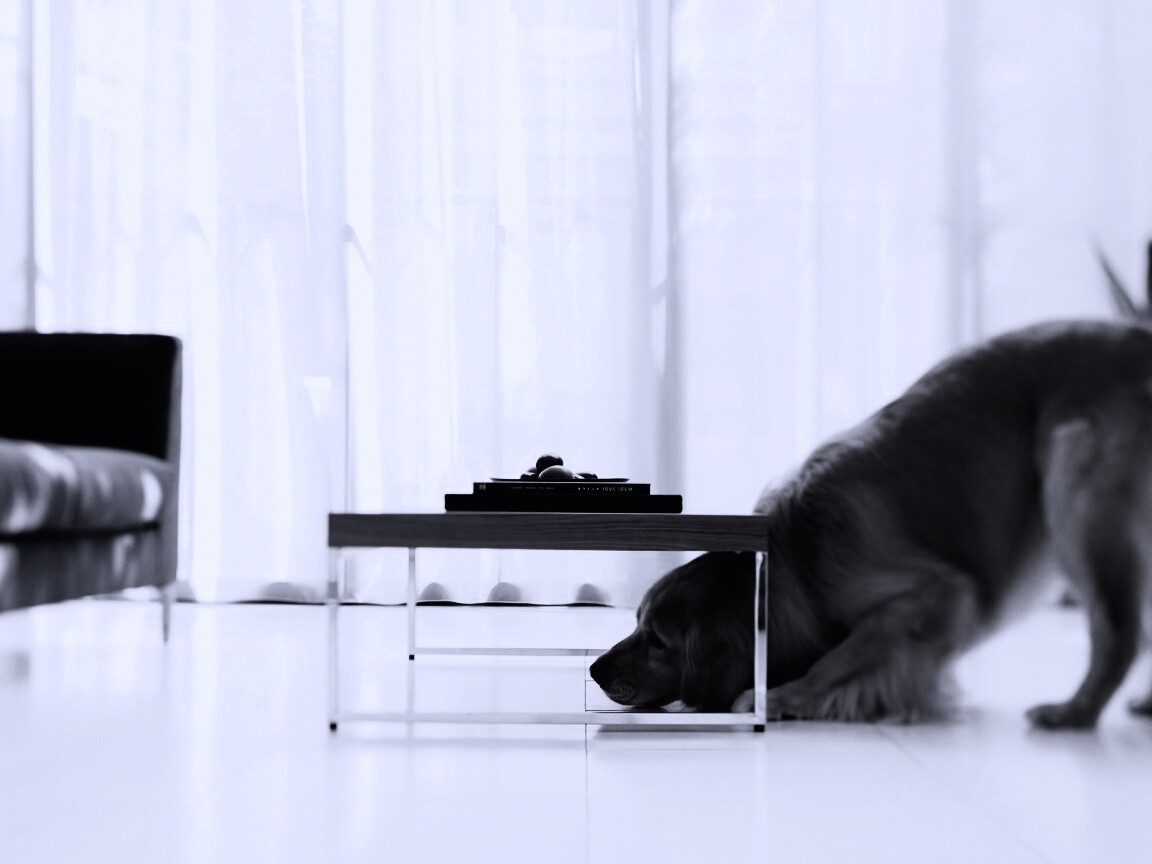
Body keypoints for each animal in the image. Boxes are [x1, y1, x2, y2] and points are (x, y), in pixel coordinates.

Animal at [590, 319, 1152, 728]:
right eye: (635, 622)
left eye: (660, 642)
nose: (594, 670)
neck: (801, 559)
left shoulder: (940, 594)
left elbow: (840, 656)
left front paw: (783, 696)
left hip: (1072, 490)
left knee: (1118, 634)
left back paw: (1074, 712)